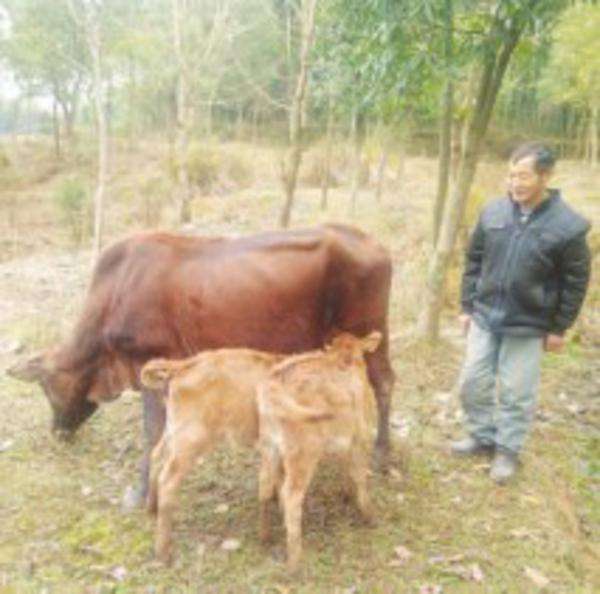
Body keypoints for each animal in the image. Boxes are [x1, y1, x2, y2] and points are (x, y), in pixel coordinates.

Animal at [9, 224, 396, 502]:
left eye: (46, 387)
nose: (57, 432)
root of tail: (376, 245)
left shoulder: (148, 363)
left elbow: (152, 432)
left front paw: (142, 493)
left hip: (368, 332)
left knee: (383, 382)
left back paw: (381, 454)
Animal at [256, 330, 380, 572]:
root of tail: (274, 383)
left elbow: (348, 472)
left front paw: (347, 495)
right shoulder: (360, 438)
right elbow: (359, 476)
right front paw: (369, 515)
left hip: (269, 446)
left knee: (264, 485)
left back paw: (265, 537)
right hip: (303, 454)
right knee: (291, 496)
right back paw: (295, 561)